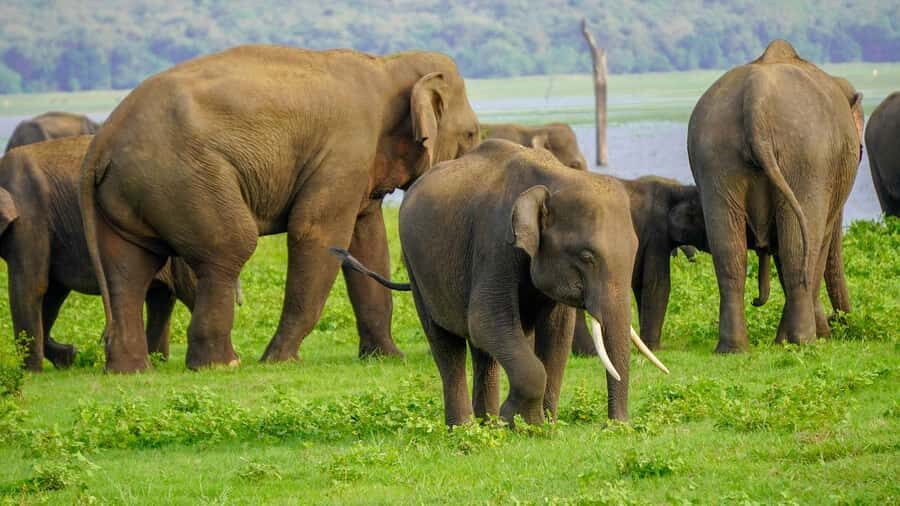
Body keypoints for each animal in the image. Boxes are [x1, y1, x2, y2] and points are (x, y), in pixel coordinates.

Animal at [0, 136, 213, 371]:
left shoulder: (29, 216)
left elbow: (31, 286)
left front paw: (32, 373)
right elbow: (52, 290)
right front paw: (67, 357)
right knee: (162, 297)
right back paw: (157, 361)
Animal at [80, 45, 479, 372]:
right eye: (473, 133)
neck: (386, 65)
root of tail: (102, 140)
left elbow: (367, 238)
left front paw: (386, 357)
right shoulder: (345, 151)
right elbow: (317, 232)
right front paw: (281, 360)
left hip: (134, 191)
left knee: (128, 271)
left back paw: (130, 370)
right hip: (184, 177)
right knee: (230, 247)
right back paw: (223, 364)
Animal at [332, 139, 668, 425]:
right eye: (587, 257)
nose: (616, 425)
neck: (555, 179)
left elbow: (557, 333)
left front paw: (543, 425)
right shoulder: (494, 242)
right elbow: (486, 320)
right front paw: (521, 421)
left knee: (485, 352)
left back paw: (488, 423)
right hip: (418, 272)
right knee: (447, 343)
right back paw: (464, 427)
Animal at [687, 40, 864, 353]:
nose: (839, 322)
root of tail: (756, 97)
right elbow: (818, 243)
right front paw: (812, 337)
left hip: (715, 158)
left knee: (729, 252)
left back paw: (733, 349)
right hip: (807, 160)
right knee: (800, 250)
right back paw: (804, 342)